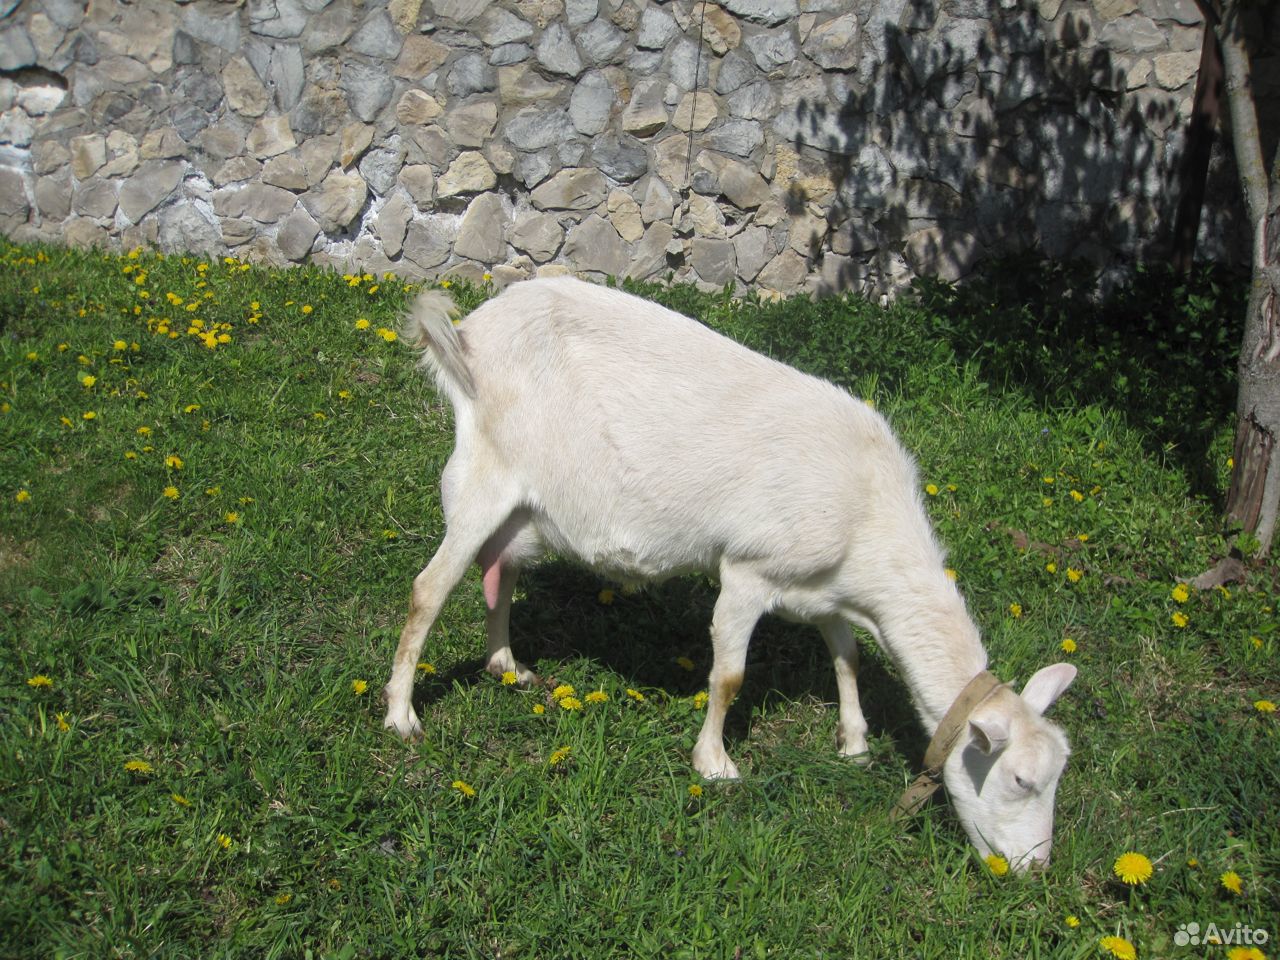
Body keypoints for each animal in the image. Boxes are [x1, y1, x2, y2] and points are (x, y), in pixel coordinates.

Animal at [381, 276, 1080, 870]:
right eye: (1021, 779)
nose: (1032, 868)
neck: (868, 515)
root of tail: (468, 336)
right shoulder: (749, 570)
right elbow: (729, 677)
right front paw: (714, 763)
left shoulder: (822, 589)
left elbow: (847, 657)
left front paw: (853, 741)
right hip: (483, 474)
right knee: (429, 590)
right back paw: (401, 716)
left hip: (524, 509)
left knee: (499, 572)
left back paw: (506, 665)